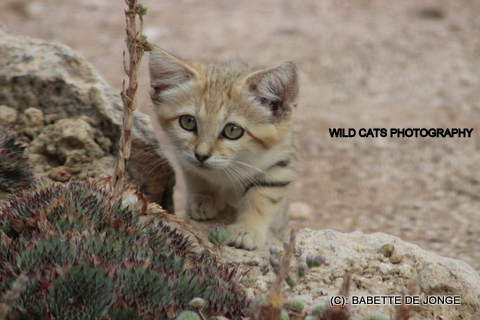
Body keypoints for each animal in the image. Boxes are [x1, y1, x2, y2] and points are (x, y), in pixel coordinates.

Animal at [148, 46, 298, 250]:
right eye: (188, 122)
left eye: (232, 130)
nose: (201, 155)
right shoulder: (184, 156)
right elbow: (197, 175)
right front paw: (204, 198)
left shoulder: (280, 163)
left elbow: (261, 197)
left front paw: (247, 229)